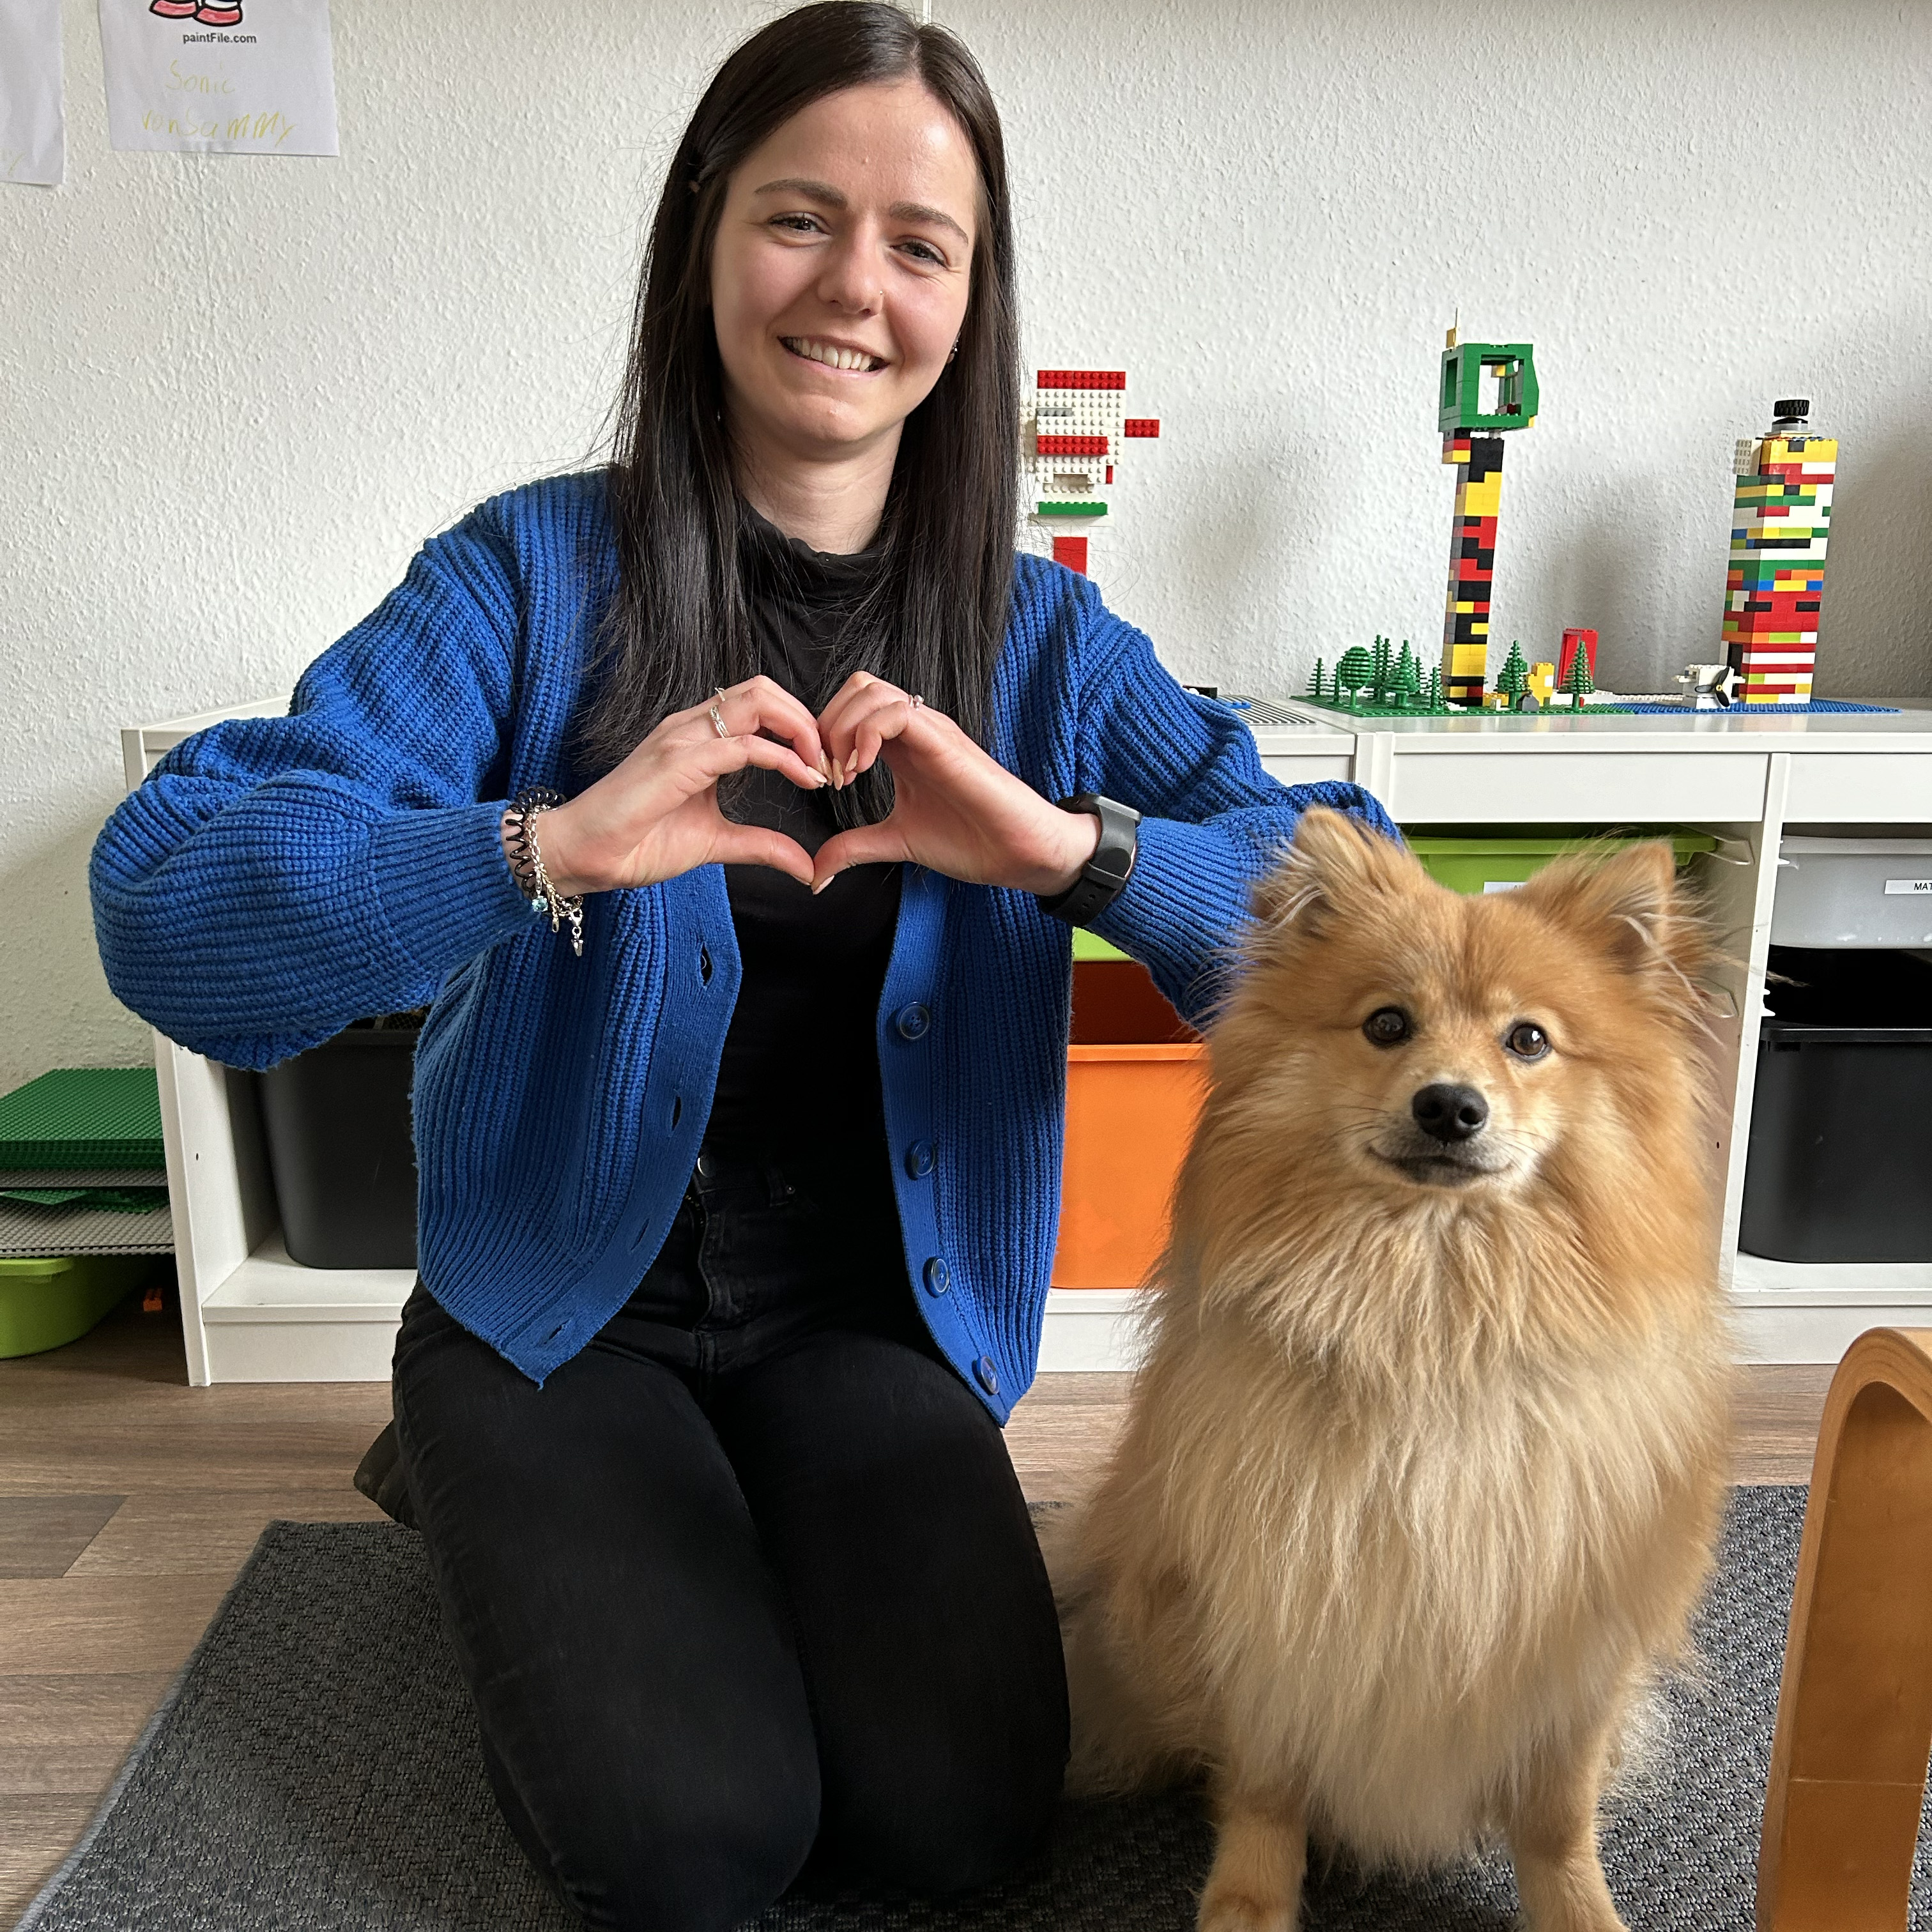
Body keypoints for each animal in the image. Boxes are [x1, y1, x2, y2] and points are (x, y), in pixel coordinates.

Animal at [1059, 811, 1738, 1932]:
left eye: (1528, 1040)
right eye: (1387, 1025)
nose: (1450, 1106)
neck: (1430, 1319)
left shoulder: (1576, 1647)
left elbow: (1558, 1817)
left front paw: (1579, 1909)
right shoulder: (1274, 1598)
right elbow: (1265, 1792)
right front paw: (1248, 1903)